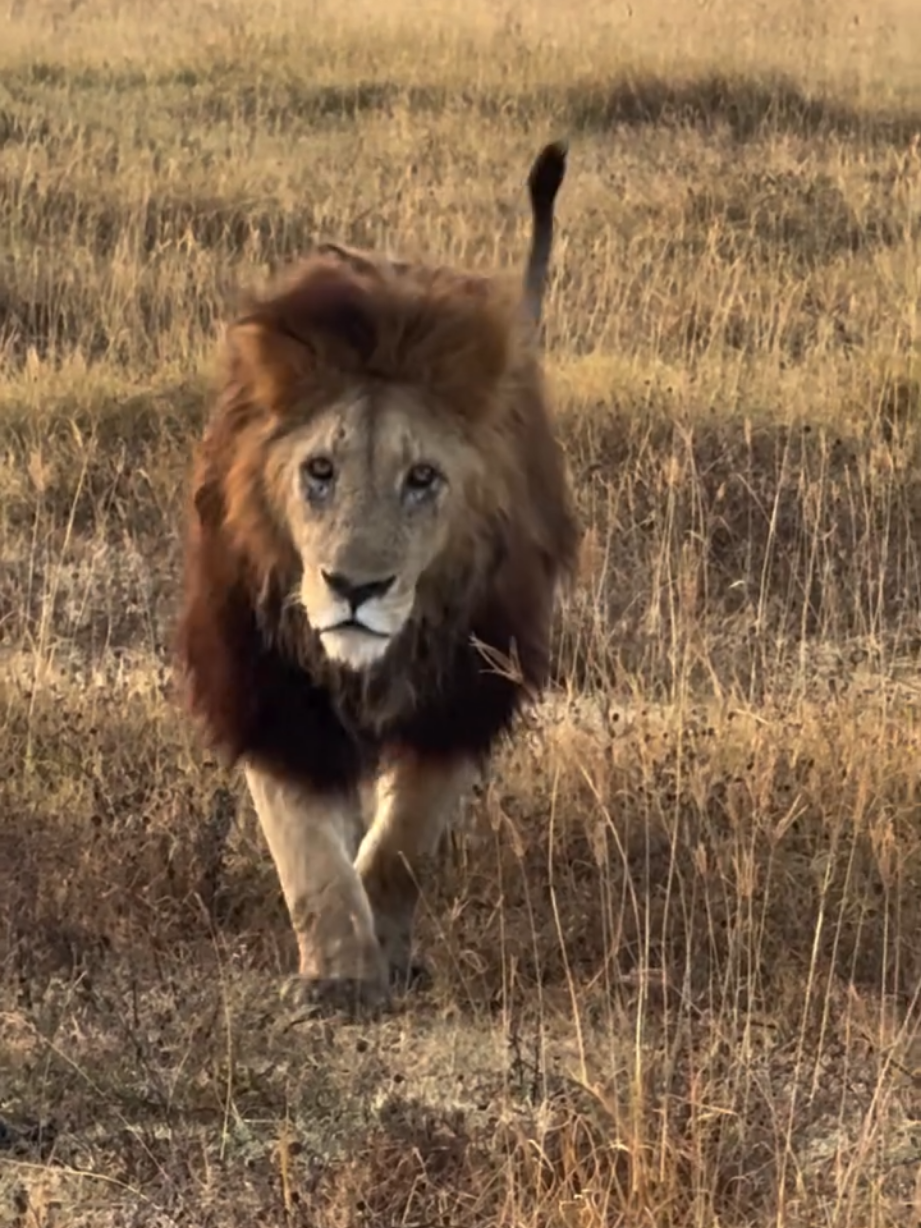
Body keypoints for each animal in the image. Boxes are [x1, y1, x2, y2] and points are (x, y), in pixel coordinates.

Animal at [175, 141, 579, 1017]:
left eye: (422, 478)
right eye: (318, 471)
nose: (353, 588)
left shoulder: (460, 695)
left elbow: (400, 845)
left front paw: (386, 953)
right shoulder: (270, 690)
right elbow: (307, 852)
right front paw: (337, 975)